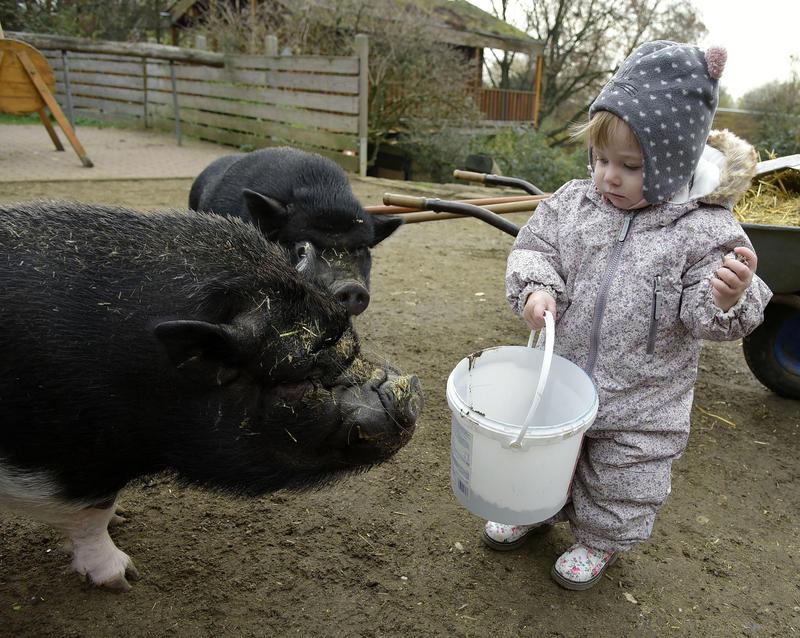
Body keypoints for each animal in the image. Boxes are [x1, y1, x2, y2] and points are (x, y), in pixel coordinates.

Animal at [0, 201, 422, 596]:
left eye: (351, 343)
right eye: (297, 380)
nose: (410, 390)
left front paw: (124, 518)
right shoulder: (71, 458)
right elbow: (92, 517)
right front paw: (125, 579)